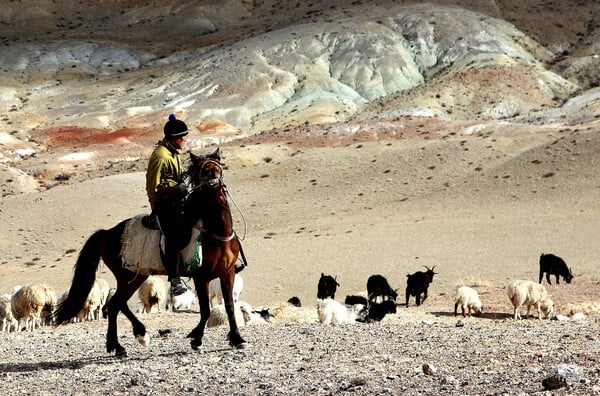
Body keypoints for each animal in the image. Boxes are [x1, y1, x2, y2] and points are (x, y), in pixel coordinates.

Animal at [54, 148, 246, 356]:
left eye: (217, 162)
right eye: (201, 168)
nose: (212, 173)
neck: (217, 231)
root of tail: (107, 233)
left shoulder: (227, 273)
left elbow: (229, 307)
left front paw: (237, 339)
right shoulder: (200, 277)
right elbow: (205, 310)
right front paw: (197, 339)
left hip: (137, 276)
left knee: (115, 305)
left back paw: (120, 344)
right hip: (128, 276)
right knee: (115, 304)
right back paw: (135, 336)